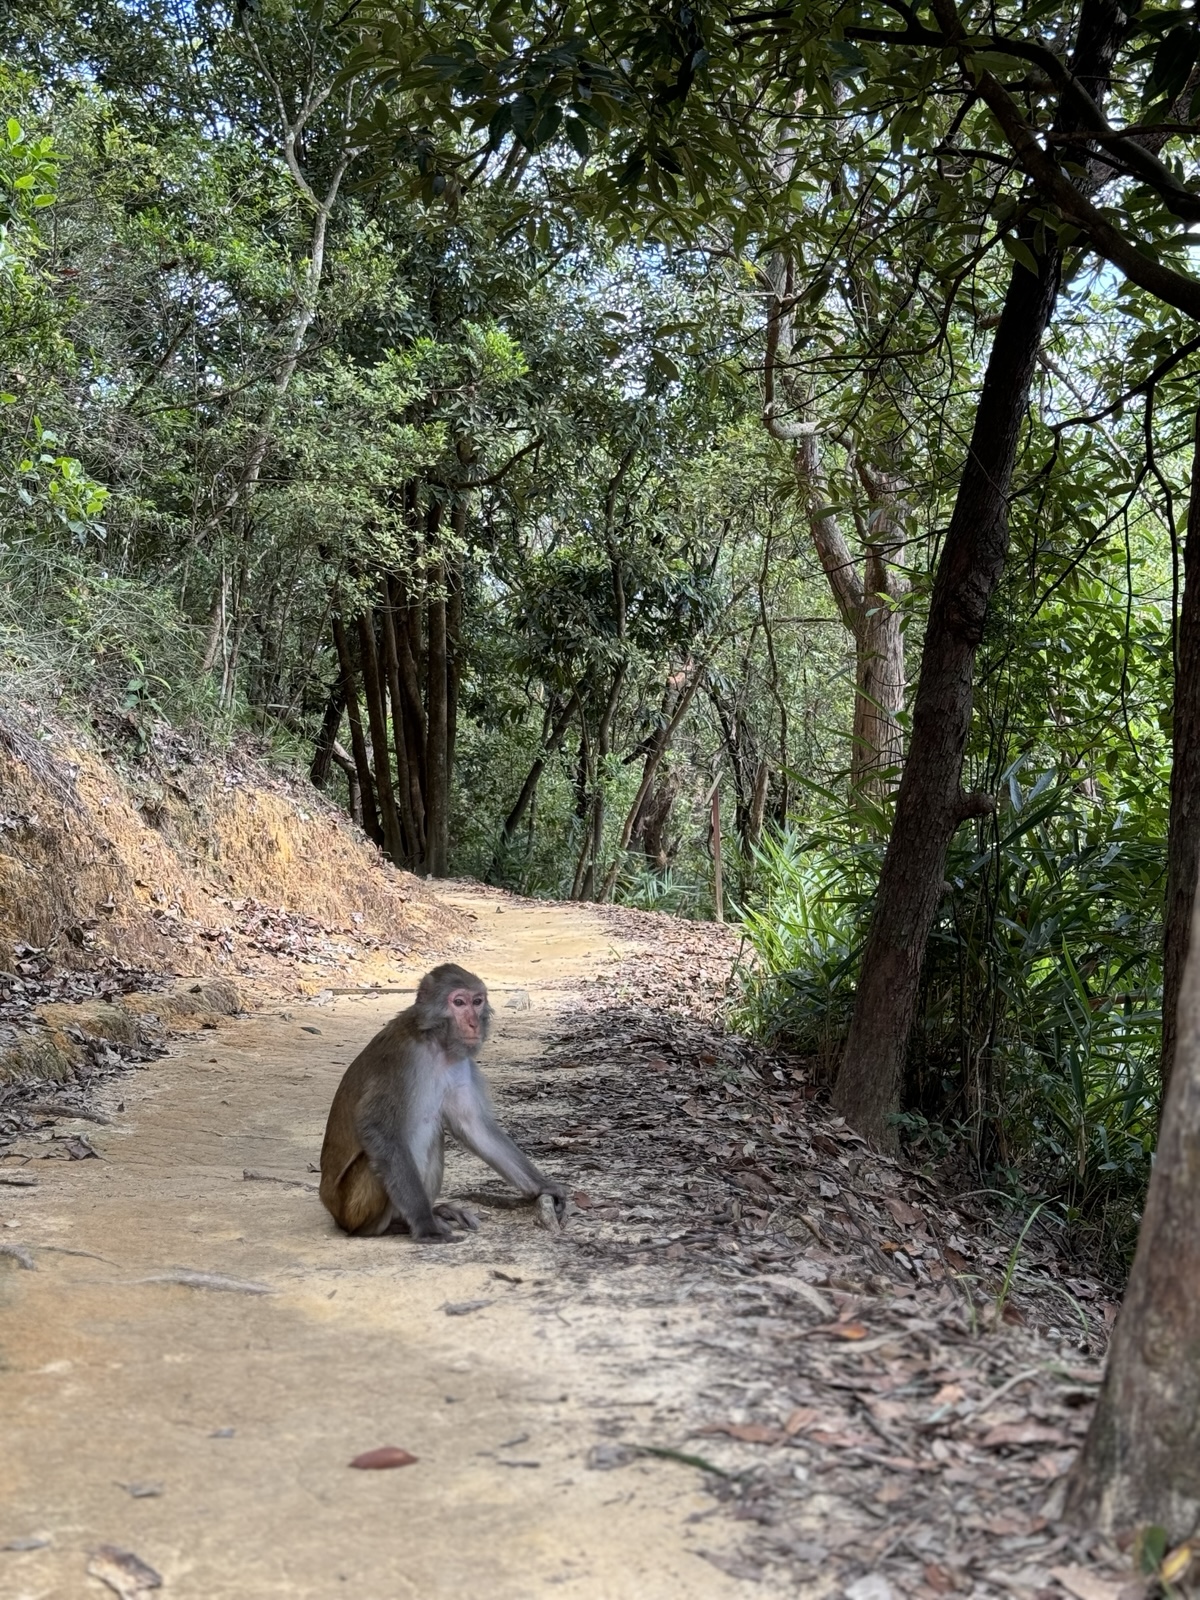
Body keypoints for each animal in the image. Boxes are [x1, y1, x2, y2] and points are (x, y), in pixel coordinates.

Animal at [319, 963, 567, 1241]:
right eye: (458, 1002)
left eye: (477, 1001)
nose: (472, 1024)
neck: (435, 1043)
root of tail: (331, 1209)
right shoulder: (401, 1058)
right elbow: (379, 1129)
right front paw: (425, 1224)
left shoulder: (460, 1064)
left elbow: (473, 1126)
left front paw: (543, 1186)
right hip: (352, 1208)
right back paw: (394, 1225)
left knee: (433, 1134)